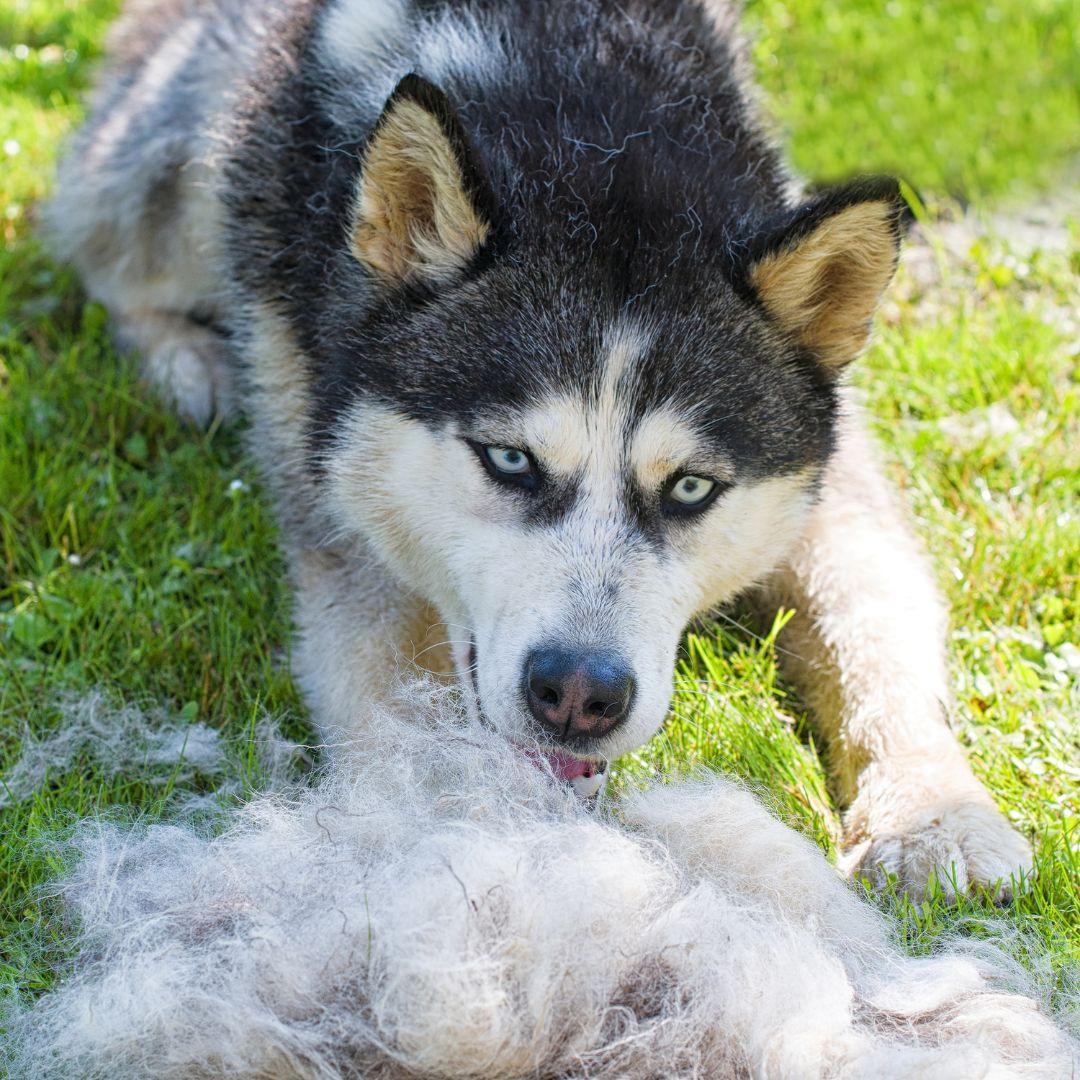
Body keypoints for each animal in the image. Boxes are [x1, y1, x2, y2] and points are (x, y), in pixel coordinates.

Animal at [50, 0, 1028, 894]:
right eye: (510, 459)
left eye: (690, 489)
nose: (580, 697)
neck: (591, 138)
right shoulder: (330, 480)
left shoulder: (832, 473)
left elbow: (873, 623)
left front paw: (936, 811)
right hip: (184, 175)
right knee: (102, 256)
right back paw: (188, 361)